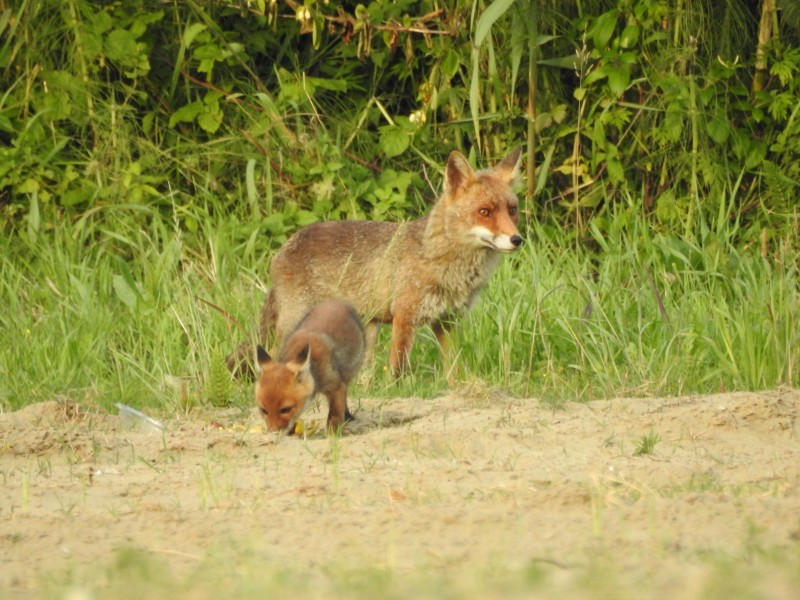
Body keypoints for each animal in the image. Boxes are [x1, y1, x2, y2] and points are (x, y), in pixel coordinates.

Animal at [228, 147, 520, 378]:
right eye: (484, 212)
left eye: (512, 210)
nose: (517, 239)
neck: (441, 260)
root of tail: (286, 245)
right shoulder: (404, 317)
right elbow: (397, 369)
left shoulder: (446, 321)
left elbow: (453, 369)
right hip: (296, 323)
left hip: (365, 329)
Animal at [255, 302, 364, 434]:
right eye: (263, 410)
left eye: (286, 409)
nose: (273, 431)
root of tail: (335, 302)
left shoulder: (336, 386)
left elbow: (335, 415)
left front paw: (333, 434)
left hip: (348, 374)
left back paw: (347, 417)